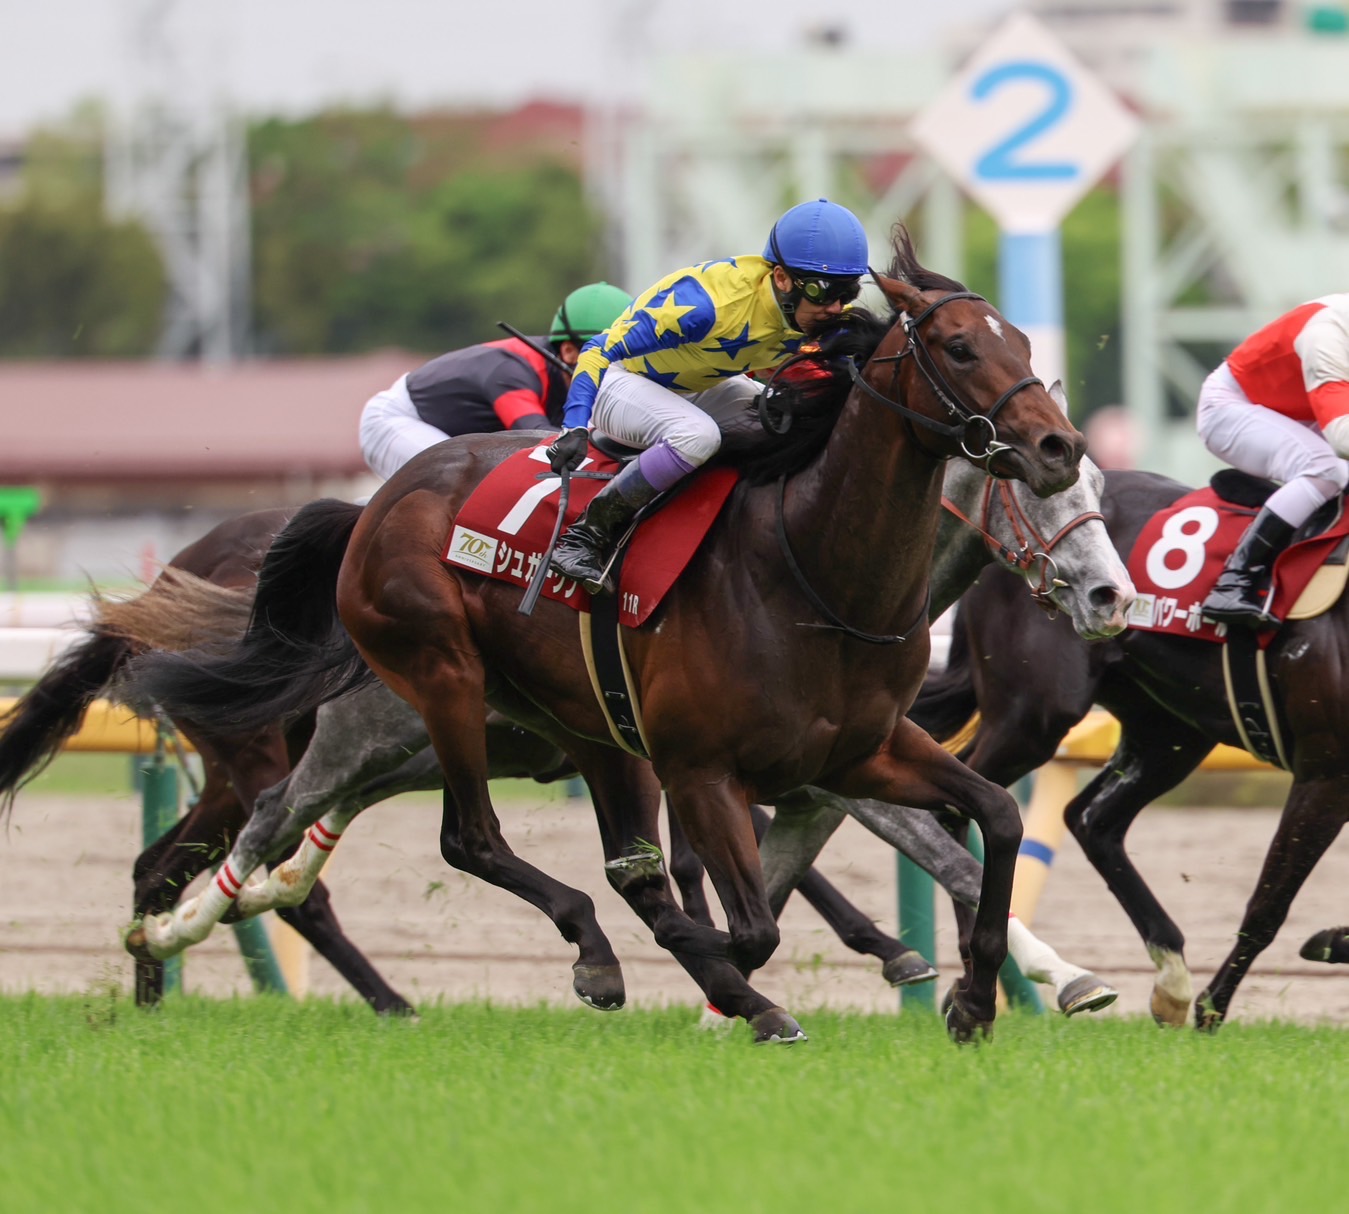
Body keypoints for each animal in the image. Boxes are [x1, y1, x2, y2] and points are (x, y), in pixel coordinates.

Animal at [127, 232, 1087, 1042]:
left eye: (1023, 345)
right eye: (959, 348)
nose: (1057, 446)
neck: (806, 568)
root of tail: (376, 502)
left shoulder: (862, 751)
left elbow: (994, 818)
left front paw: (976, 999)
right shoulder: (704, 769)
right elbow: (751, 924)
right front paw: (737, 985)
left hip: (583, 725)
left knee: (607, 865)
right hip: (436, 678)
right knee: (455, 838)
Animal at [911, 465, 1349, 1029]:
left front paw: (1331, 941)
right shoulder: (1326, 769)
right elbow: (1269, 903)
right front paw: (1213, 1009)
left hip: (1170, 730)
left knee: (1091, 818)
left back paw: (1171, 979)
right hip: (1035, 713)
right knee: (962, 805)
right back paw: (972, 977)